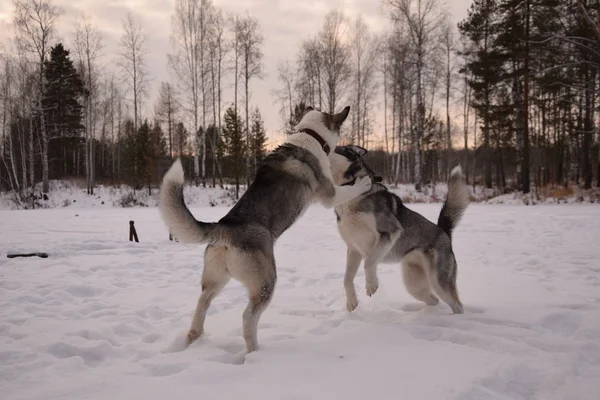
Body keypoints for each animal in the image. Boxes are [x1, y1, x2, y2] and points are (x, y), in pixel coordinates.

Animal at [156, 106, 370, 354]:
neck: (311, 135)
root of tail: (225, 227)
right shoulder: (329, 194)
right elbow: (347, 190)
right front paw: (364, 183)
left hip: (215, 280)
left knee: (203, 303)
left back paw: (194, 336)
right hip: (266, 282)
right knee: (248, 317)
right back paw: (255, 351)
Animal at [328, 145, 468, 314]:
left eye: (333, 147)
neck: (351, 194)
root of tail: (444, 232)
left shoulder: (388, 231)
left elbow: (369, 262)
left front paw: (371, 285)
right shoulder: (353, 249)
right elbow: (346, 279)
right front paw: (351, 303)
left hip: (438, 281)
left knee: (457, 304)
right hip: (413, 284)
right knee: (433, 299)